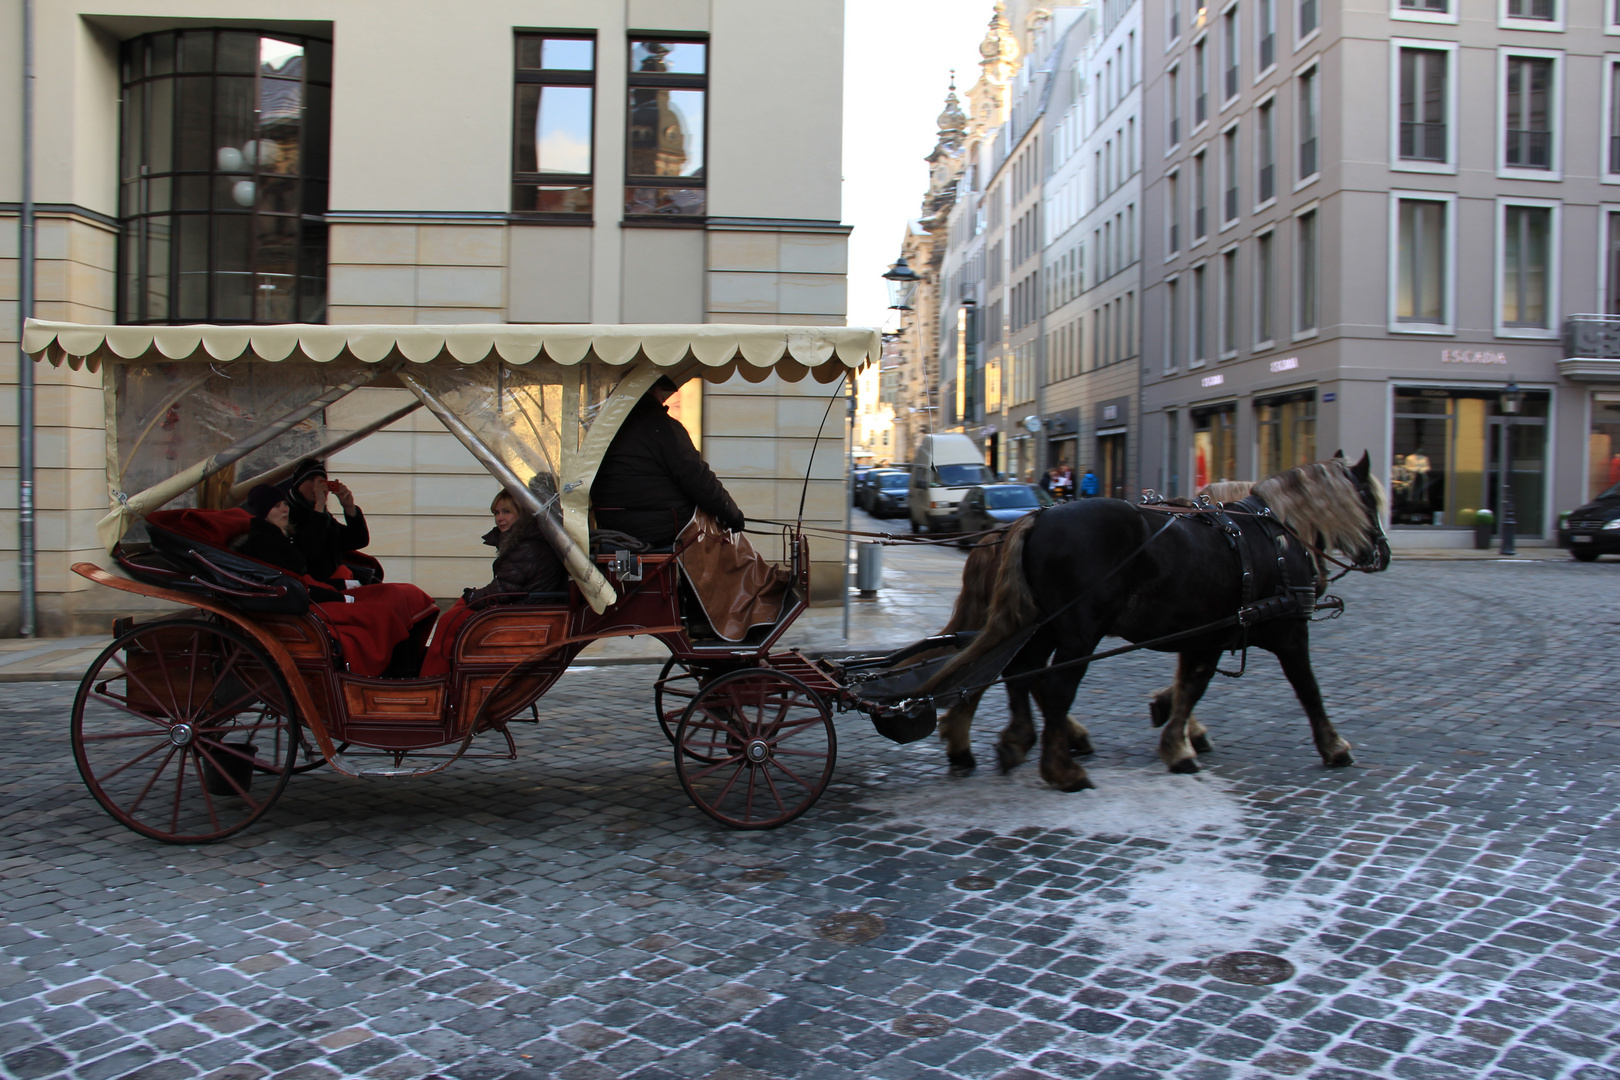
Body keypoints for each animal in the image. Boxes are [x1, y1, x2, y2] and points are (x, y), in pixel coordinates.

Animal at [926, 453, 1393, 790]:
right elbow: (1308, 690)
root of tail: (1035, 518)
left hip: (1040, 626)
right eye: (1370, 499)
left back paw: (1014, 742)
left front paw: (1177, 735)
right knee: (1051, 686)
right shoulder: (1289, 632)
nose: (1383, 553)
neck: (1273, 535)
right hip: (1079, 631)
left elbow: (1190, 686)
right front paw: (1334, 746)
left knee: (1021, 674)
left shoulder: (1207, 634)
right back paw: (1059, 769)